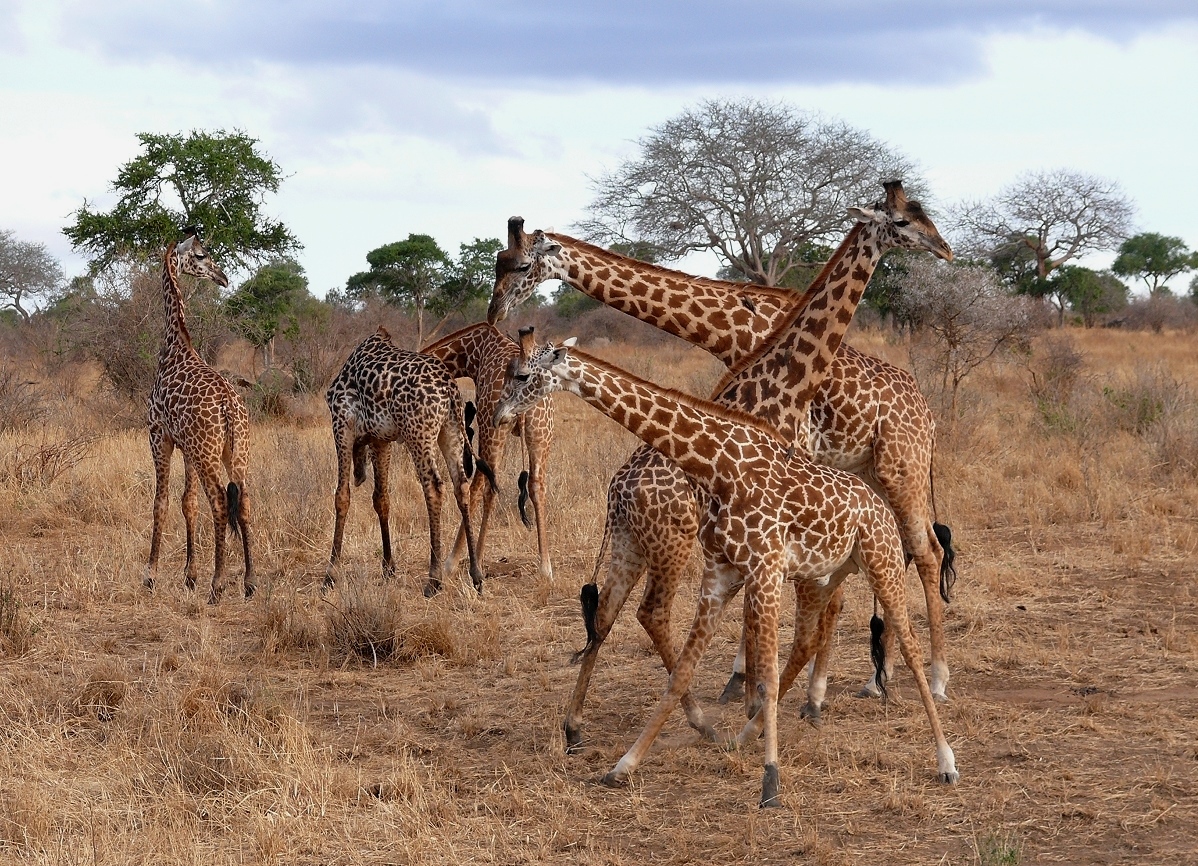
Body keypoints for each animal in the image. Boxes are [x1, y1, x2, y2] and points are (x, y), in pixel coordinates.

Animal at [144, 233, 257, 606]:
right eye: (202, 255)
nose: (223, 277)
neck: (174, 346)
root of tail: (228, 406)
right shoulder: (186, 446)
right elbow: (188, 503)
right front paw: (189, 576)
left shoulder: (158, 436)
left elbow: (161, 503)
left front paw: (150, 575)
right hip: (235, 451)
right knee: (244, 501)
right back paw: (249, 581)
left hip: (209, 453)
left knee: (221, 502)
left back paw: (218, 585)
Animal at [323, 325, 491, 596]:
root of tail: (449, 388)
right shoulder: (380, 440)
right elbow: (381, 499)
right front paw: (388, 568)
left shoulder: (342, 424)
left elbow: (342, 496)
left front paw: (330, 574)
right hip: (450, 430)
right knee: (461, 486)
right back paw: (475, 575)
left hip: (418, 434)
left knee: (433, 487)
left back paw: (433, 580)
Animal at [426, 323, 555, 582]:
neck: (472, 352)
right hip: (541, 434)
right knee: (537, 486)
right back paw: (545, 568)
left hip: (492, 429)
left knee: (484, 487)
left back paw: (458, 561)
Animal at [481, 184, 958, 752]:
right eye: (906, 219)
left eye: (518, 263)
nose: (945, 249)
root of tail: (928, 412)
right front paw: (756, 694)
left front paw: (769, 695)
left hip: (895, 469)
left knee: (922, 552)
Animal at [491, 337, 958, 804]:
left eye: (523, 375)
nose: (499, 414)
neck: (718, 466)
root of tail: (879, 505)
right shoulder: (721, 575)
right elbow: (682, 673)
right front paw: (623, 766)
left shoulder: (765, 569)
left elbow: (764, 675)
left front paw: (771, 781)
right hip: (823, 575)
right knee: (806, 642)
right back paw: (749, 733)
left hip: (881, 562)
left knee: (909, 641)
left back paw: (945, 758)